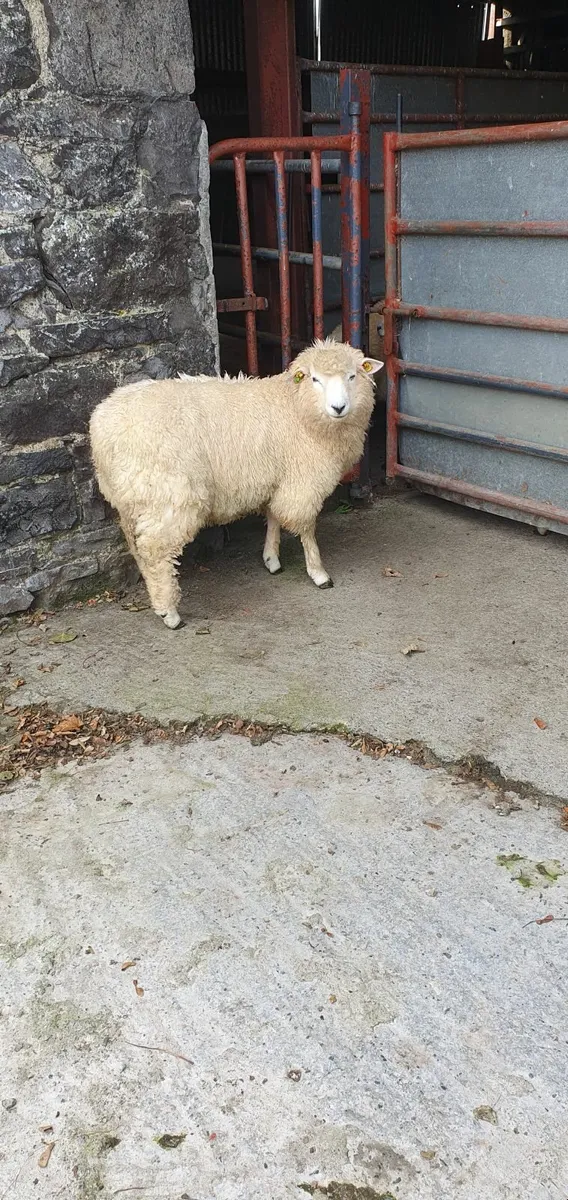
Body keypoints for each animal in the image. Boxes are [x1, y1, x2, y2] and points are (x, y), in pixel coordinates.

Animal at [89, 339, 383, 629]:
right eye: (315, 379)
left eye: (352, 376)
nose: (339, 408)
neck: (296, 407)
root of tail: (103, 428)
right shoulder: (302, 481)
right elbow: (306, 528)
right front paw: (319, 573)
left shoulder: (276, 478)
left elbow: (273, 517)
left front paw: (271, 559)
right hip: (169, 495)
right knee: (155, 549)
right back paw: (169, 612)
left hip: (130, 498)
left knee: (137, 547)